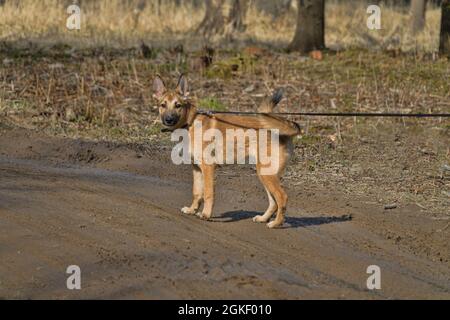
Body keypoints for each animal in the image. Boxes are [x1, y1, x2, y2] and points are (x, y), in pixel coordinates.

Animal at [153, 74, 300, 228]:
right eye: (163, 105)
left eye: (178, 105)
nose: (168, 120)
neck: (190, 123)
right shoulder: (197, 168)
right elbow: (197, 192)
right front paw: (192, 210)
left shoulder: (208, 167)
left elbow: (208, 193)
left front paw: (206, 214)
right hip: (265, 174)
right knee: (273, 202)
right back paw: (263, 218)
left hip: (267, 175)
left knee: (282, 198)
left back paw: (276, 223)